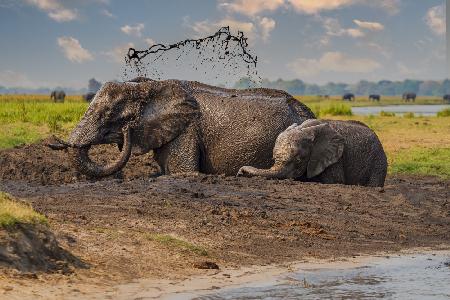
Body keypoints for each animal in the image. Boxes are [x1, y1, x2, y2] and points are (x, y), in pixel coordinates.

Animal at [237, 119, 388, 185]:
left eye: (299, 160)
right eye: (274, 159)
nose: (240, 172)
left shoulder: (334, 159)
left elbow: (335, 181)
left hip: (378, 160)